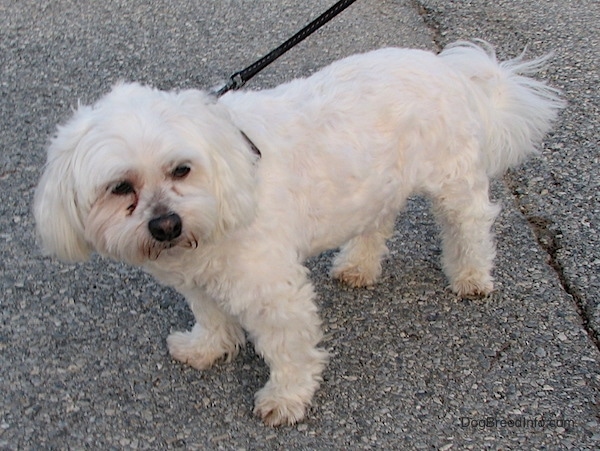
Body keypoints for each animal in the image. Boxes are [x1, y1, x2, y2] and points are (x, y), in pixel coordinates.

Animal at [35, 40, 564, 426]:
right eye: (120, 187)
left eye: (181, 169)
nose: (166, 225)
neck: (229, 174)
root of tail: (447, 67)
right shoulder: (200, 280)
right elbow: (210, 316)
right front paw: (206, 348)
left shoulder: (273, 292)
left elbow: (288, 347)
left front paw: (285, 398)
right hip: (376, 183)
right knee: (378, 220)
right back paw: (358, 265)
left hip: (453, 182)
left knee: (470, 222)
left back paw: (470, 275)